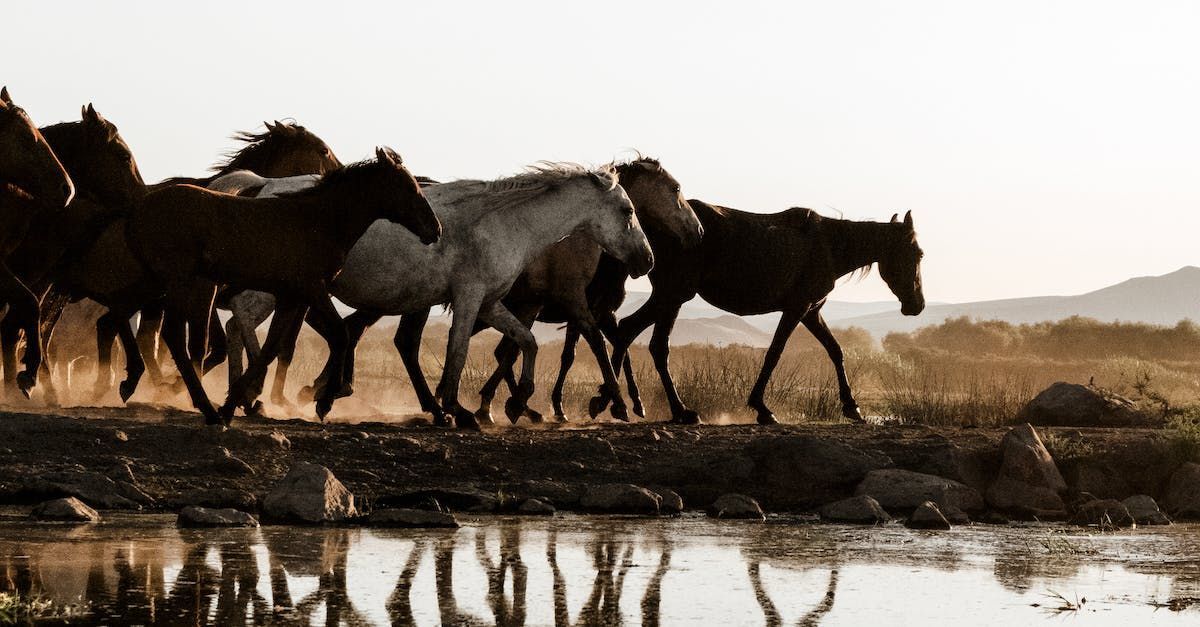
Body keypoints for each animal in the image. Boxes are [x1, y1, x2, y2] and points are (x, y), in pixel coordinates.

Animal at [124, 149, 439, 425]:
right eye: (409, 188)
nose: (435, 229)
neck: (318, 221)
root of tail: (141, 210)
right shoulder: (313, 288)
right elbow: (339, 334)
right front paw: (323, 402)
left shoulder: (291, 297)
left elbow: (271, 348)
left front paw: (235, 403)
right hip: (180, 282)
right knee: (174, 337)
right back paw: (203, 408)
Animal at [467, 157, 702, 424]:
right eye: (675, 188)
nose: (697, 230)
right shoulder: (582, 309)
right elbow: (587, 350)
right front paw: (607, 403)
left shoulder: (597, 313)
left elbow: (611, 348)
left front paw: (629, 402)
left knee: (504, 351)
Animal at [596, 205, 925, 425]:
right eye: (918, 253)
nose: (917, 305)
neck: (829, 245)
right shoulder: (796, 309)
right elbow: (774, 354)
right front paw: (762, 408)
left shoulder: (811, 312)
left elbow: (836, 351)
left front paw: (852, 406)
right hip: (673, 295)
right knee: (647, 341)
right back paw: (669, 409)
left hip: (671, 298)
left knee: (630, 333)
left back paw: (616, 402)